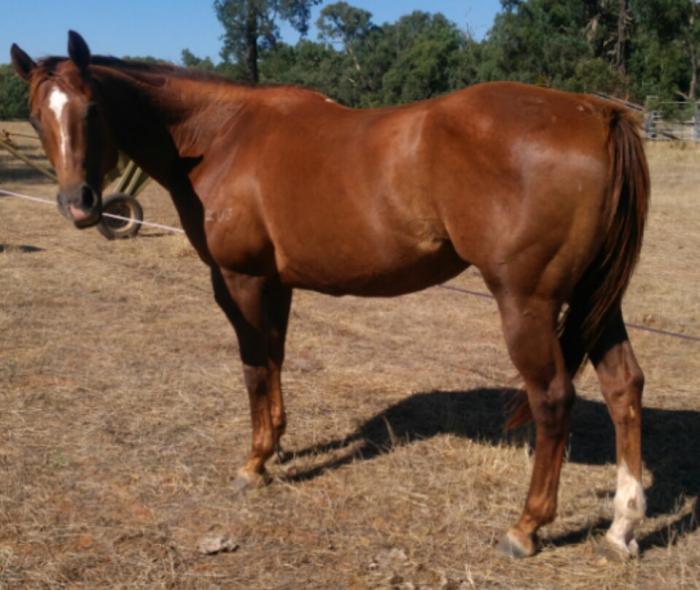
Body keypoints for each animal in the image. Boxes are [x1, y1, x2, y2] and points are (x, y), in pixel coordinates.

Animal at [10, 31, 649, 559]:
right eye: (38, 116)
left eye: (93, 109)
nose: (79, 205)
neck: (220, 135)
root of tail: (596, 111)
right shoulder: (276, 283)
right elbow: (274, 361)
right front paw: (275, 445)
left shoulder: (238, 279)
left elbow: (253, 366)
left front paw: (254, 464)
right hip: (598, 302)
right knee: (623, 387)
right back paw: (623, 525)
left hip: (527, 303)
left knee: (553, 400)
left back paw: (527, 527)